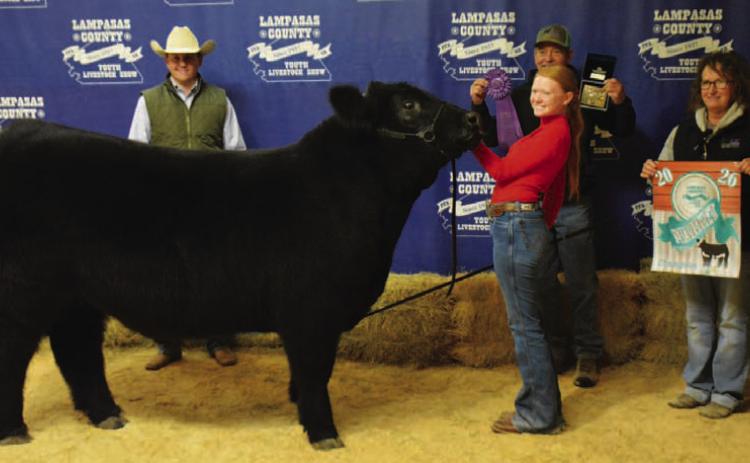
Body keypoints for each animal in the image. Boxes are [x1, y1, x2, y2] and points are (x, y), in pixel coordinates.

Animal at [0, 82, 481, 450]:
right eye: (408, 104)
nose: (474, 119)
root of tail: (20, 130)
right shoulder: (312, 312)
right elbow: (315, 372)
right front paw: (323, 433)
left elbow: (308, 372)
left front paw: (298, 408)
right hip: (23, 293)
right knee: (17, 355)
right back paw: (14, 431)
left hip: (75, 296)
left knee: (75, 350)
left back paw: (106, 414)